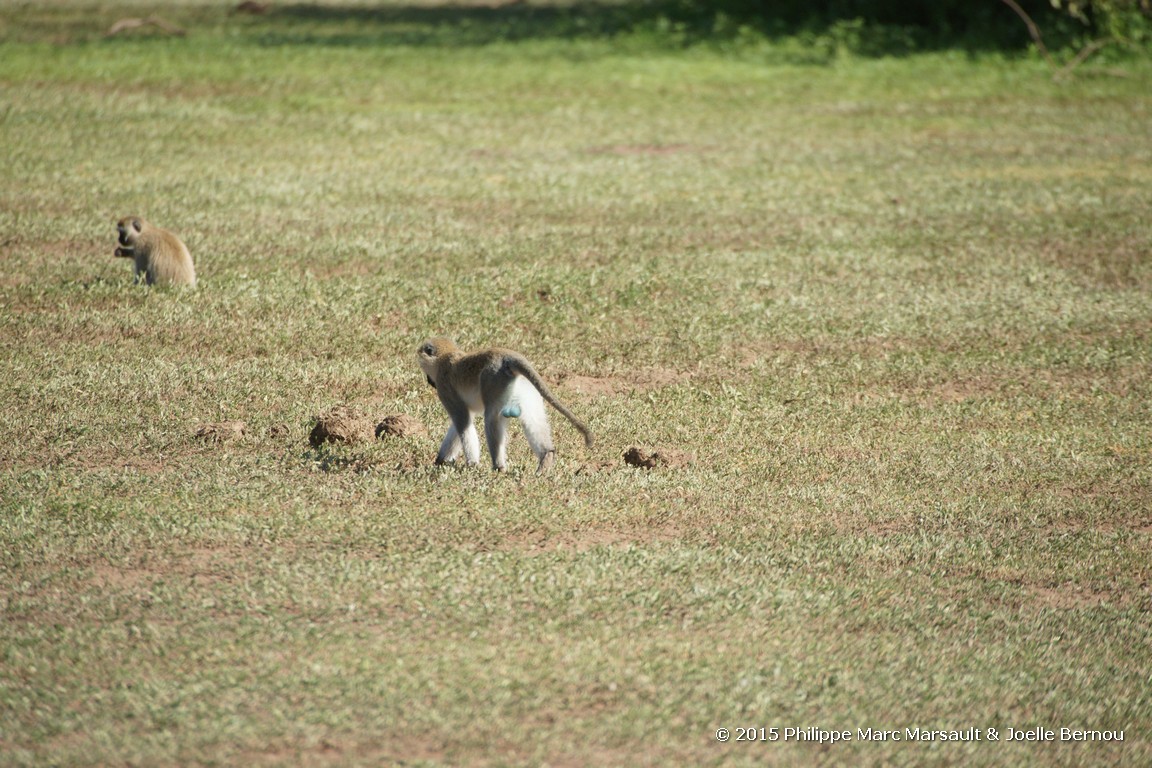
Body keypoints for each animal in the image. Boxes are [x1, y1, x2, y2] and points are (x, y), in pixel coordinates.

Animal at [417, 338, 594, 472]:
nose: (429, 381)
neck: (446, 357)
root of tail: (508, 357)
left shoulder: (444, 387)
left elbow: (462, 420)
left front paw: (472, 464)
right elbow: (462, 422)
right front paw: (440, 461)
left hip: (494, 381)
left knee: (491, 418)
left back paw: (499, 467)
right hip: (526, 388)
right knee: (533, 419)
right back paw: (546, 457)